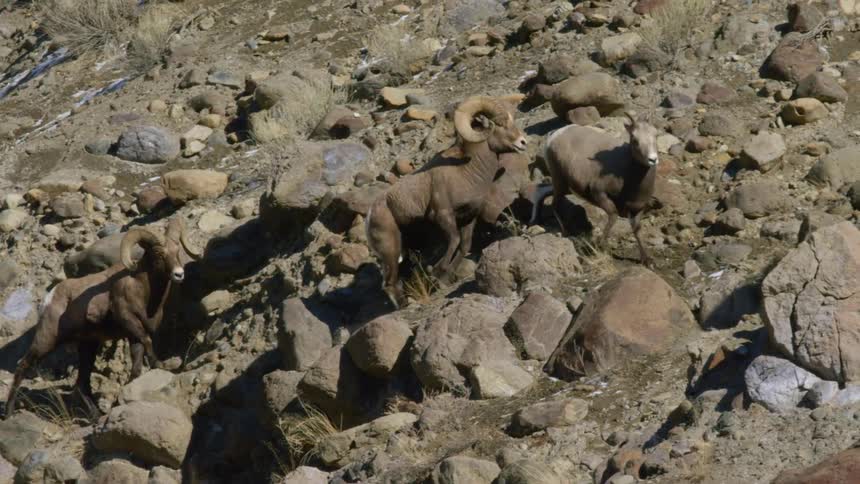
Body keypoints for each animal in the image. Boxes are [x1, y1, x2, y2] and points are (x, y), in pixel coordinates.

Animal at [4, 217, 200, 418]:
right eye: (159, 254)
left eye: (177, 251)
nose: (179, 274)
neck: (142, 290)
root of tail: (49, 298)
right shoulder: (129, 320)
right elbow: (147, 341)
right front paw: (159, 364)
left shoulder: (133, 335)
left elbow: (137, 366)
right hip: (46, 341)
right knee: (23, 367)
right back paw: (8, 413)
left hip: (87, 346)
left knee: (81, 384)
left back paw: (95, 416)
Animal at [366, 96, 528, 308]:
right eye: (499, 124)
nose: (523, 142)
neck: (466, 172)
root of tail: (371, 214)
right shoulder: (443, 216)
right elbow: (454, 241)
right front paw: (436, 274)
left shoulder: (468, 218)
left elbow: (464, 245)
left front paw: (443, 279)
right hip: (390, 248)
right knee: (389, 282)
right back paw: (404, 305)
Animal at [530, 113, 660, 267]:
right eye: (634, 139)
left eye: (655, 134)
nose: (653, 159)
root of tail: (554, 135)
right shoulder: (599, 194)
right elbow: (613, 216)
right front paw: (601, 247)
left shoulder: (637, 210)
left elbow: (637, 230)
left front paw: (647, 260)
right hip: (560, 184)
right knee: (554, 204)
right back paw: (565, 233)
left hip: (564, 187)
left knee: (542, 192)